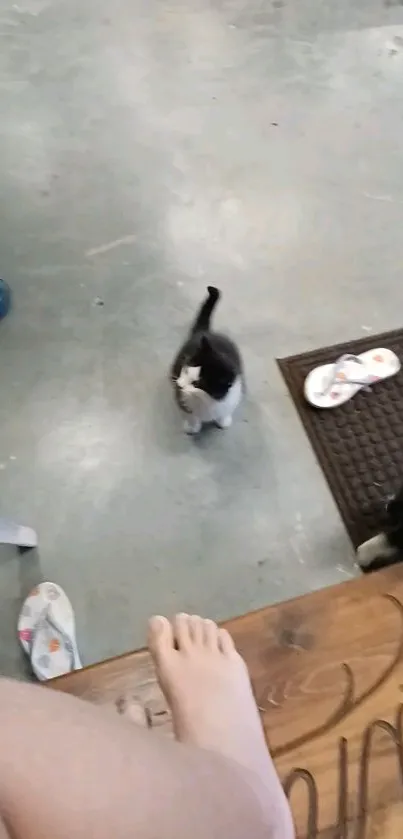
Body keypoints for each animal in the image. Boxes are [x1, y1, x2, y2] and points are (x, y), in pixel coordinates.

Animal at [172, 288, 245, 434]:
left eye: (196, 383)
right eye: (186, 370)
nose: (180, 385)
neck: (206, 400)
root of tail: (206, 332)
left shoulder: (232, 397)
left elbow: (225, 411)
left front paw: (224, 421)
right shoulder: (182, 398)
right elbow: (191, 415)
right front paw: (192, 427)